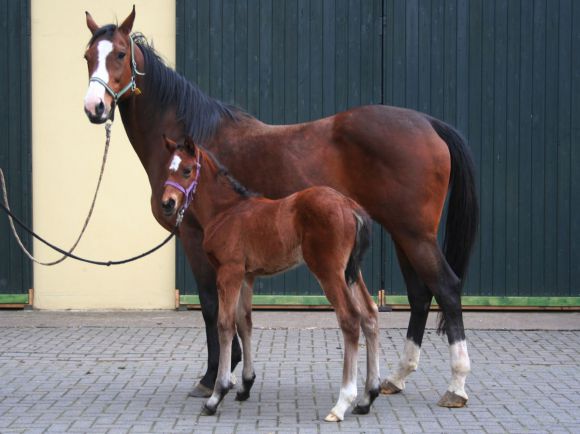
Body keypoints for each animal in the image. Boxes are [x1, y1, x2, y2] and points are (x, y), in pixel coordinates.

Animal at [162, 136, 380, 420]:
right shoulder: (246, 276)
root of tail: (349, 205)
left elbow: (224, 325)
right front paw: (245, 385)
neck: (225, 210)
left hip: (328, 270)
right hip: (350, 272)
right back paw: (367, 397)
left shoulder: (228, 272)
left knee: (351, 319)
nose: (167, 203)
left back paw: (342, 403)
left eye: (187, 170)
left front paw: (217, 394)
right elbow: (244, 323)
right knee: (370, 315)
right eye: (168, 168)